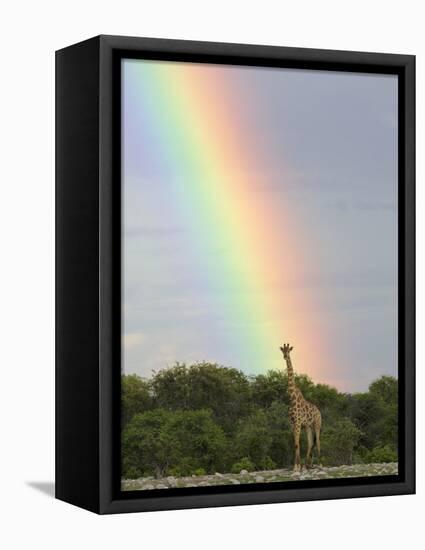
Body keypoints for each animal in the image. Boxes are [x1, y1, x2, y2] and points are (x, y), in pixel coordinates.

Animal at [278, 342, 322, 472]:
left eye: (289, 351)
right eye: (282, 351)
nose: (285, 356)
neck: (292, 398)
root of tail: (319, 412)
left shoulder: (297, 423)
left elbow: (297, 444)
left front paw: (297, 467)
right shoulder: (293, 423)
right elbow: (296, 444)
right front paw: (297, 466)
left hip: (317, 424)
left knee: (318, 441)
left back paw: (321, 464)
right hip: (308, 426)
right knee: (310, 443)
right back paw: (307, 465)